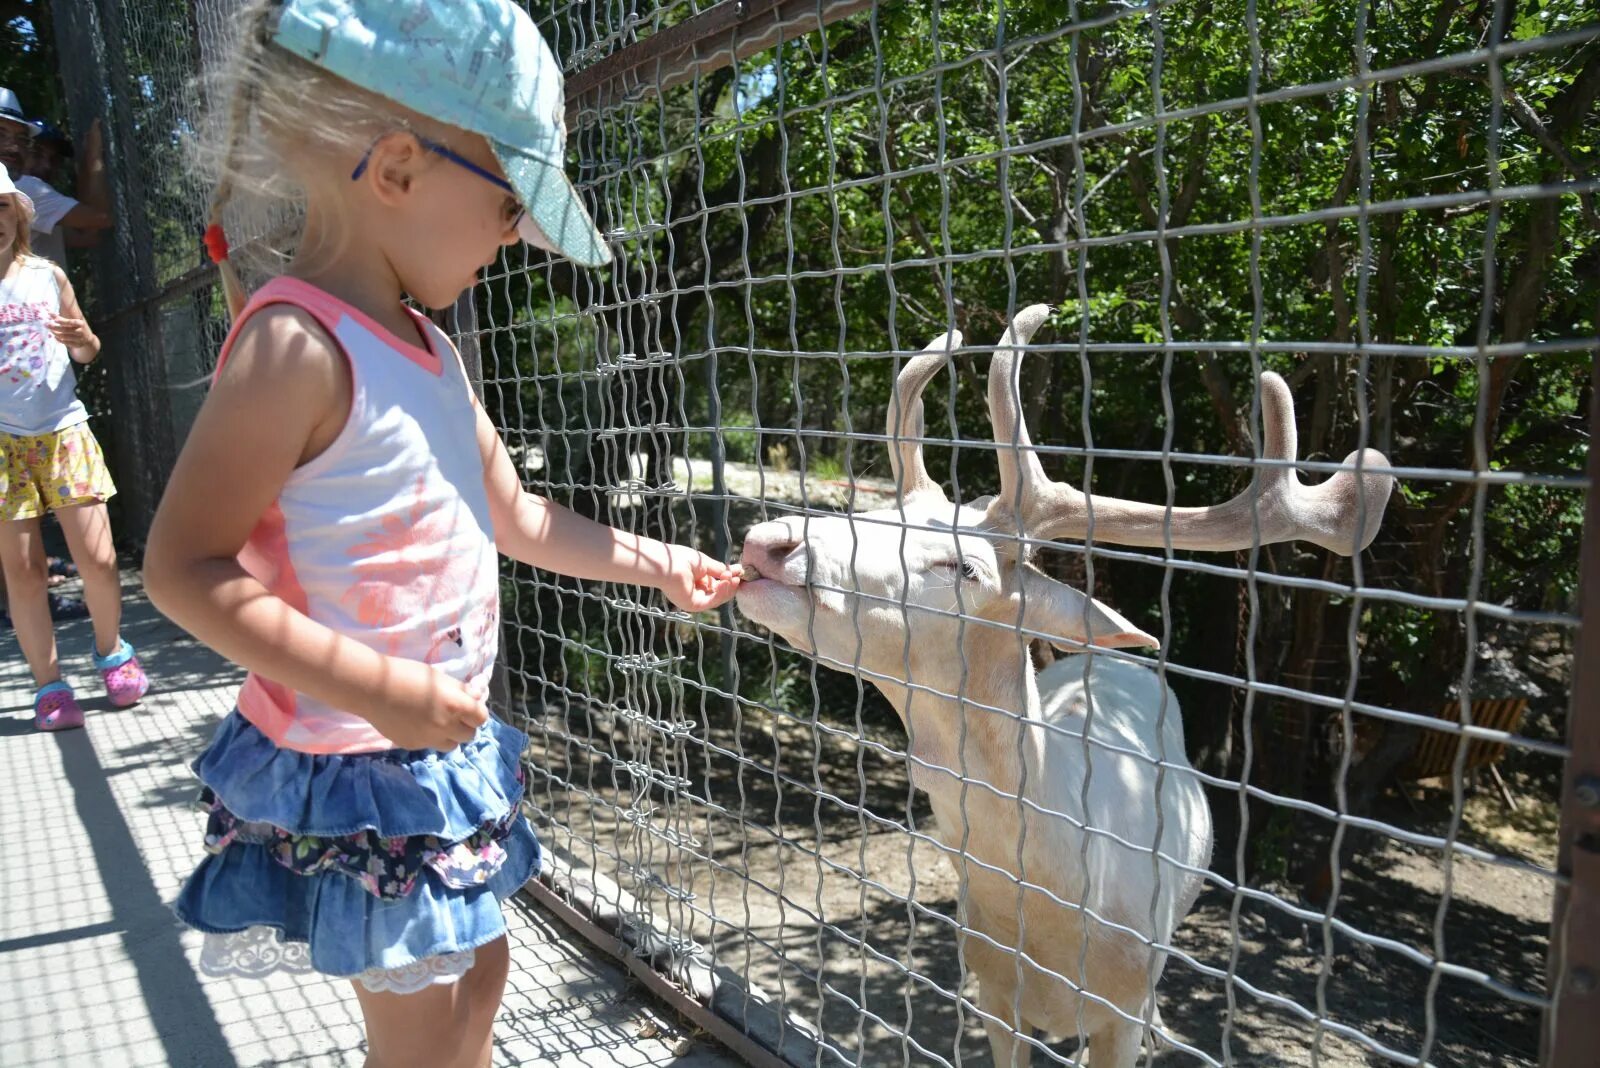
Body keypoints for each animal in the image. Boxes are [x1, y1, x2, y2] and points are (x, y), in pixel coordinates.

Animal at [732, 303, 1388, 1061]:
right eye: (870, 515)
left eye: (965, 567)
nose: (769, 543)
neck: (1059, 917)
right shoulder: (991, 994)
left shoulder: (1121, 1010)